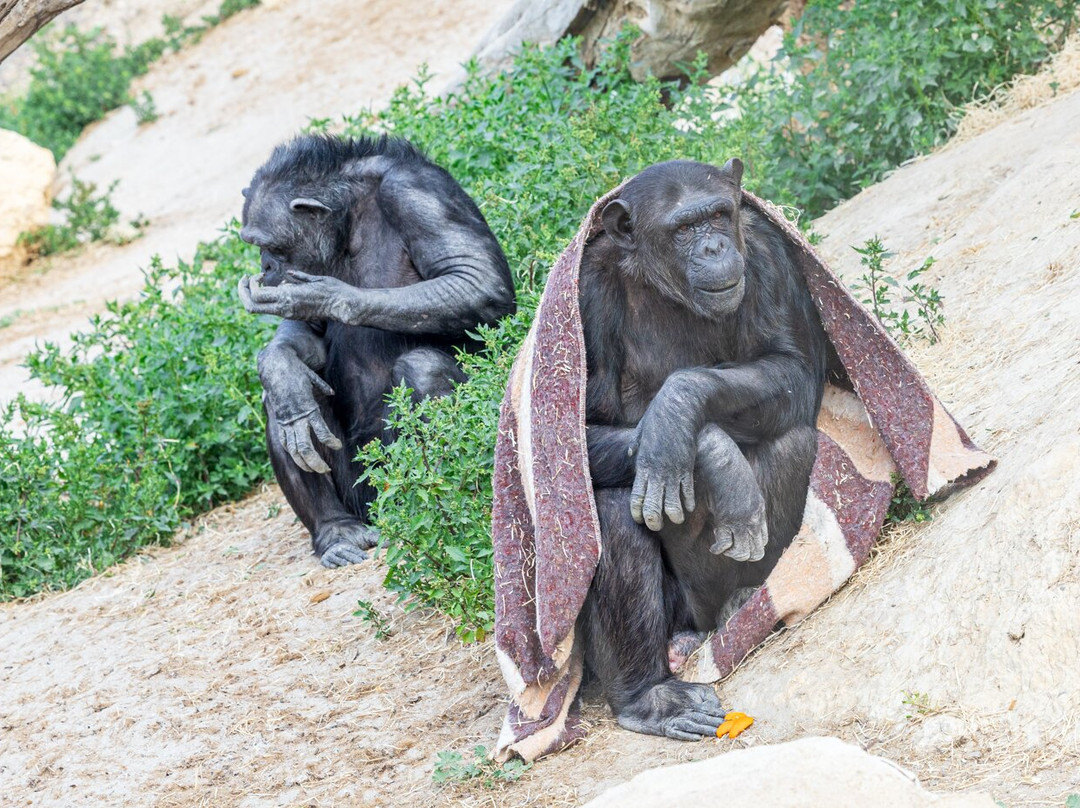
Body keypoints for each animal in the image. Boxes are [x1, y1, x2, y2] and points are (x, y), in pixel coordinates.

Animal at [238, 133, 516, 566]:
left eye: (273, 247)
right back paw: (337, 531)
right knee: (285, 397)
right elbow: (303, 341)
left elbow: (477, 279)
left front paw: (321, 296)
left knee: (423, 367)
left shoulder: (418, 195)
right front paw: (280, 366)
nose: (266, 266)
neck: (348, 220)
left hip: (389, 477)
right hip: (361, 493)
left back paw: (439, 503)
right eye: (255, 246)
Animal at [583, 157, 825, 738]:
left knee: (792, 441)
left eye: (717, 215)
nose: (714, 247)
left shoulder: (765, 252)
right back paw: (650, 695)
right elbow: (585, 426)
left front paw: (677, 405)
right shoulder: (587, 294)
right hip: (682, 611)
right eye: (683, 229)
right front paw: (711, 452)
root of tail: (699, 628)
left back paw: (746, 601)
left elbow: (793, 369)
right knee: (609, 505)